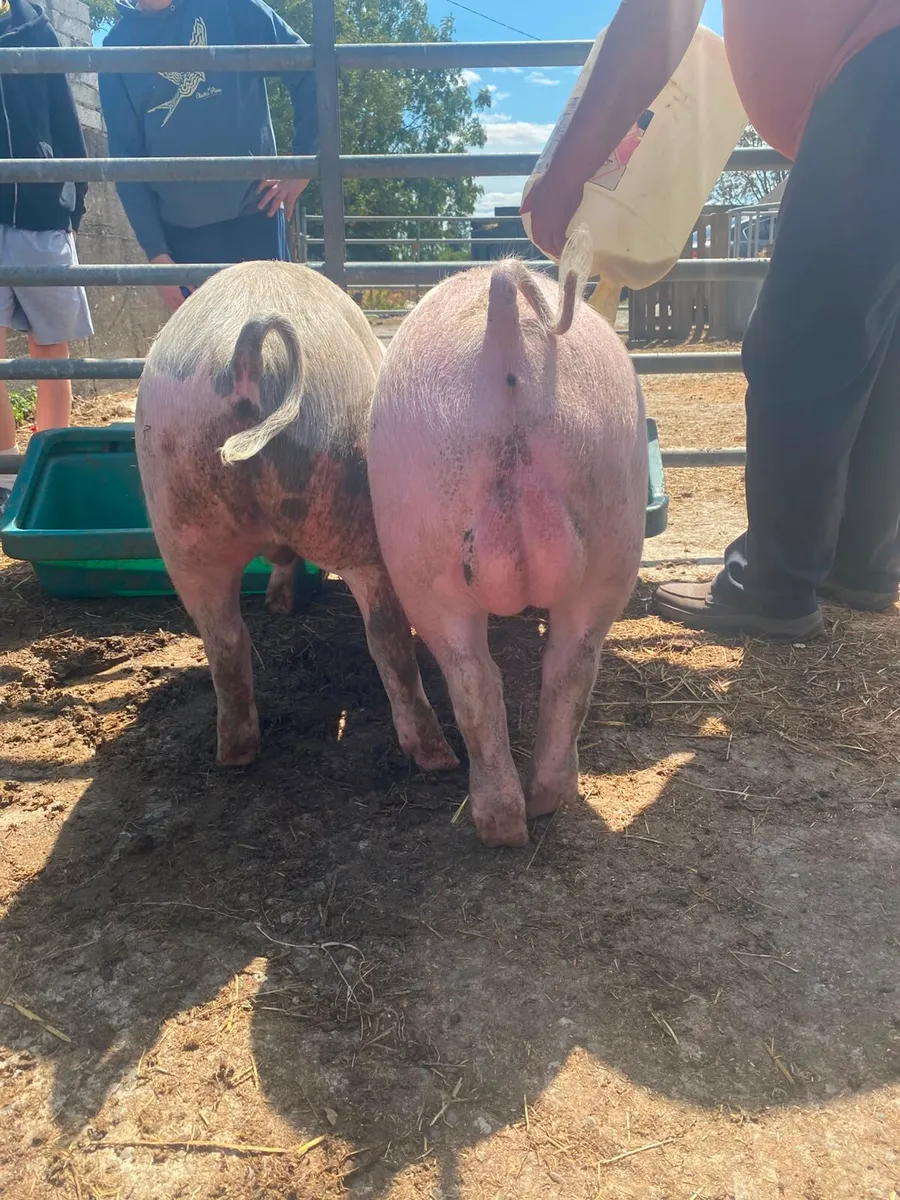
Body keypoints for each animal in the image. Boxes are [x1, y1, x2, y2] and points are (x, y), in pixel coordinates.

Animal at [136, 260, 457, 774]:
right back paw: (440, 758)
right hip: (351, 506)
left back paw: (235, 756)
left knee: (225, 642)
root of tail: (246, 360)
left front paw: (279, 604)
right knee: (388, 639)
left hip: (179, 519)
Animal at [368, 231, 647, 847]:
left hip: (420, 553)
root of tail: (504, 333)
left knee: (473, 677)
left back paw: (499, 826)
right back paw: (542, 805)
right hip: (612, 525)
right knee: (570, 667)